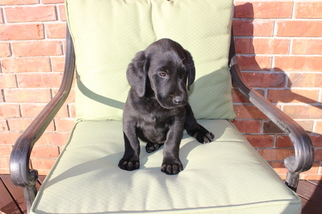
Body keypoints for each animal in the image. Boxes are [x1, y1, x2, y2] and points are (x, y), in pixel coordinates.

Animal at [118, 38, 214, 176]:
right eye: (162, 73)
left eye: (184, 73)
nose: (180, 100)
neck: (154, 101)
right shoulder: (129, 120)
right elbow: (131, 141)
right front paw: (130, 160)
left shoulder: (178, 120)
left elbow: (171, 142)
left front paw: (171, 162)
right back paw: (152, 145)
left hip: (188, 112)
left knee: (192, 125)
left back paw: (203, 133)